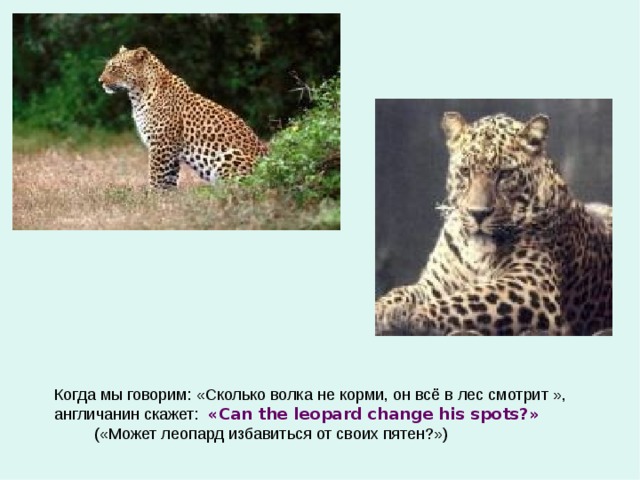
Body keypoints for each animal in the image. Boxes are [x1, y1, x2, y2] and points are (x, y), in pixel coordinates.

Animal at [98, 46, 268, 189]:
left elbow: (155, 178)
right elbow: (168, 183)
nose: (100, 81)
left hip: (228, 156)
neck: (138, 96)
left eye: (114, 68)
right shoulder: (171, 152)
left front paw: (151, 200)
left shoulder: (161, 146)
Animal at [375, 112, 612, 336]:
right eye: (465, 171)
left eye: (505, 174)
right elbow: (402, 291)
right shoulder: (435, 285)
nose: (478, 214)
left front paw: (413, 315)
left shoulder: (532, 285)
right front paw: (382, 310)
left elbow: (467, 300)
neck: (475, 254)